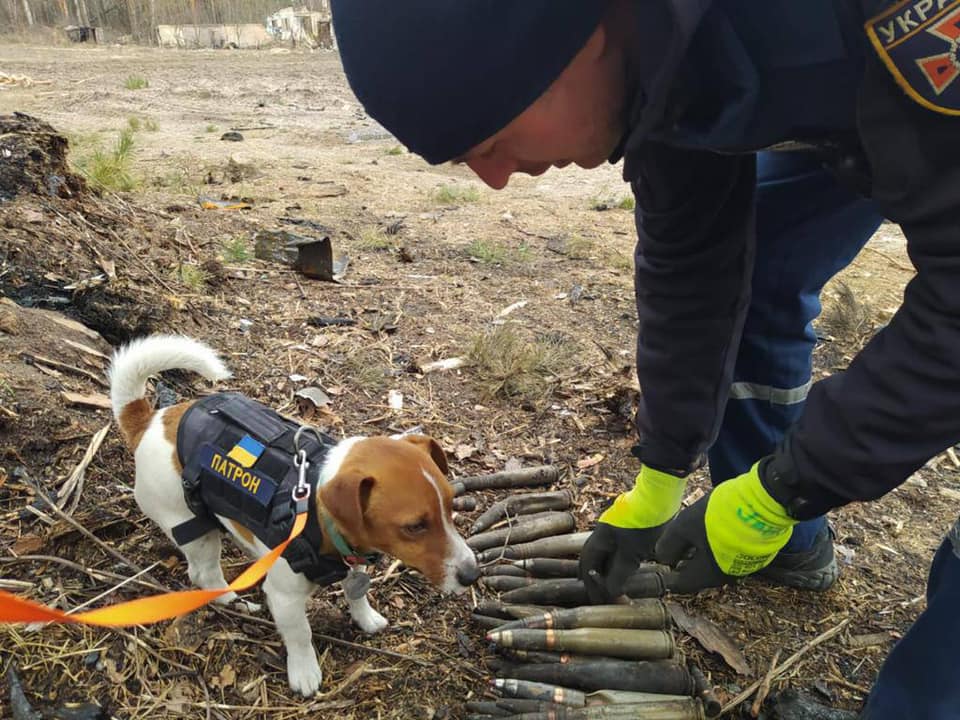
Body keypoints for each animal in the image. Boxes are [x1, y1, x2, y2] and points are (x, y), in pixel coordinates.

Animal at [109, 334, 480, 696]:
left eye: (451, 506)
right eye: (414, 526)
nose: (473, 575)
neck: (314, 507)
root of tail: (148, 421)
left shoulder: (354, 559)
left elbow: (356, 592)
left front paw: (366, 618)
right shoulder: (285, 599)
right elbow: (301, 635)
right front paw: (305, 672)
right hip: (193, 529)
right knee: (204, 574)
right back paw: (232, 600)